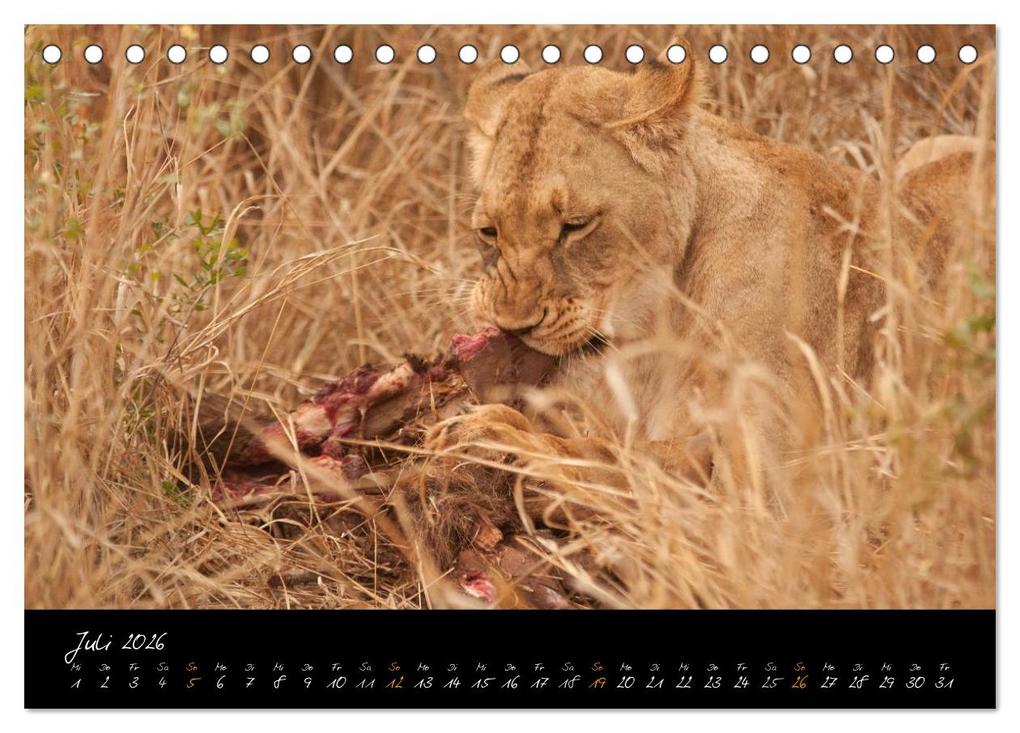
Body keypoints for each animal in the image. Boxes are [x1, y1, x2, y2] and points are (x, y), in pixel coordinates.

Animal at [426, 43, 992, 491]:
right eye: (488, 231)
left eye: (575, 225)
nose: (512, 326)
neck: (658, 320)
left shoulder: (780, 478)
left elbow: (621, 457)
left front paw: (490, 431)